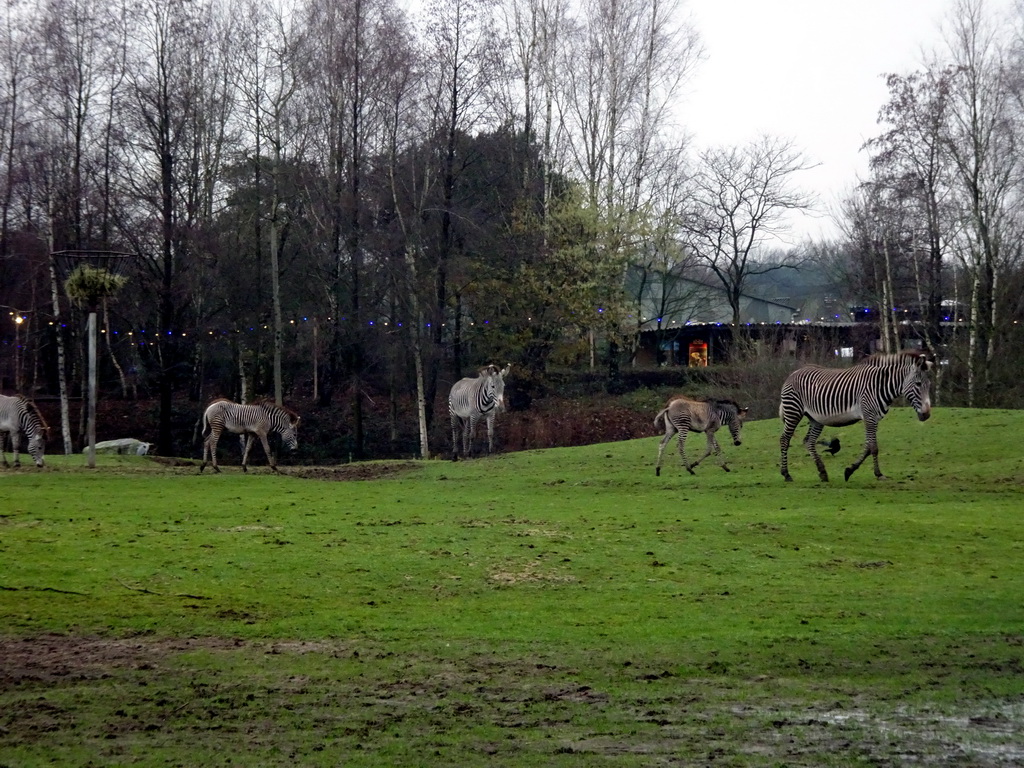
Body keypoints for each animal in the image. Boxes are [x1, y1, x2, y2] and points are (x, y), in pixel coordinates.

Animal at [778, 354, 933, 483]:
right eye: (918, 384)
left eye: (929, 385)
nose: (926, 415)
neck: (880, 386)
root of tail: (793, 373)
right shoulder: (869, 416)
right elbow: (873, 447)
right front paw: (878, 474)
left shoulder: (874, 418)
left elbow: (868, 447)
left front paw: (849, 471)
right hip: (793, 411)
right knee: (785, 439)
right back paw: (786, 474)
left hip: (815, 419)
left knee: (809, 442)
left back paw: (822, 472)